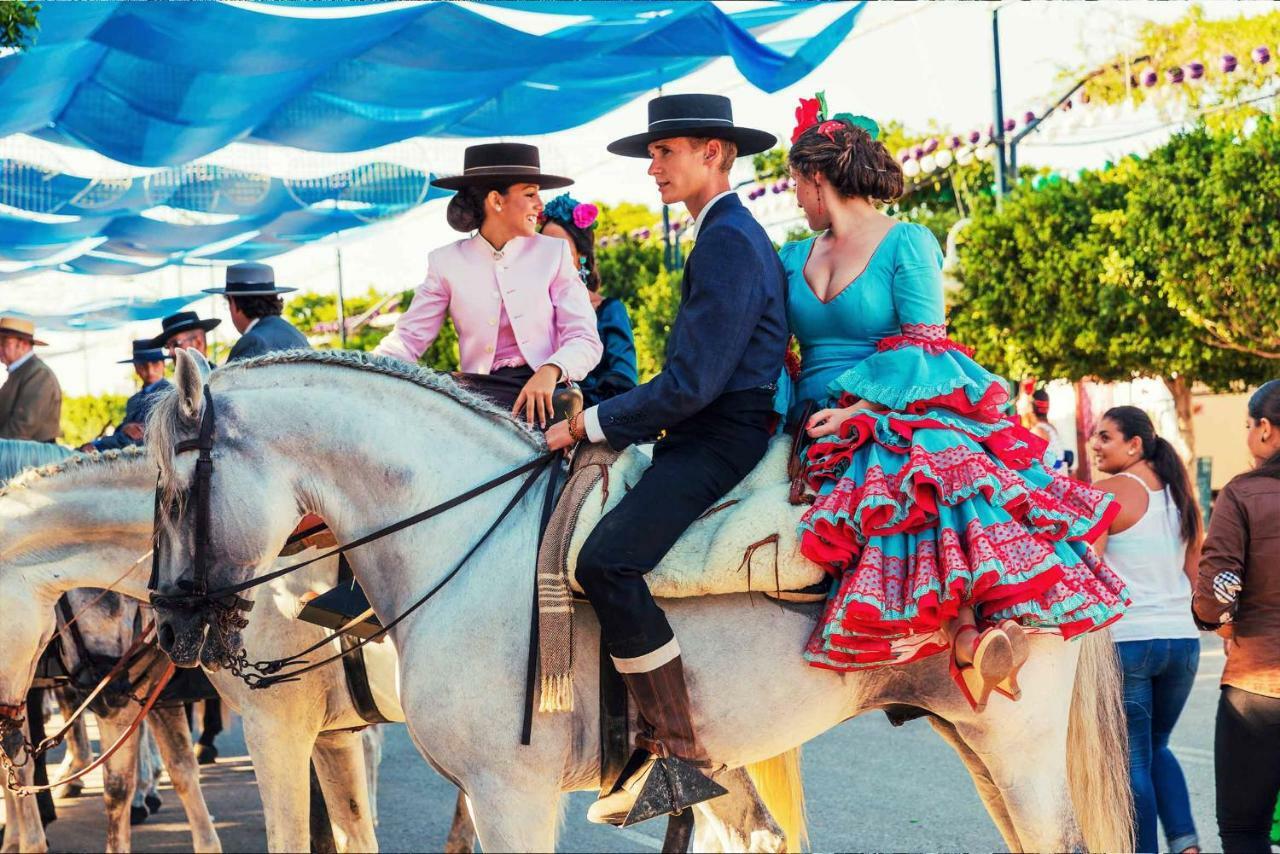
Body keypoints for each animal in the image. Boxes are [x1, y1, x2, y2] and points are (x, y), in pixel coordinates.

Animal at [147, 348, 1131, 854]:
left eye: (170, 490)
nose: (171, 622)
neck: (466, 538)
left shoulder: (507, 794)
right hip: (970, 736)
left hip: (1018, 744)